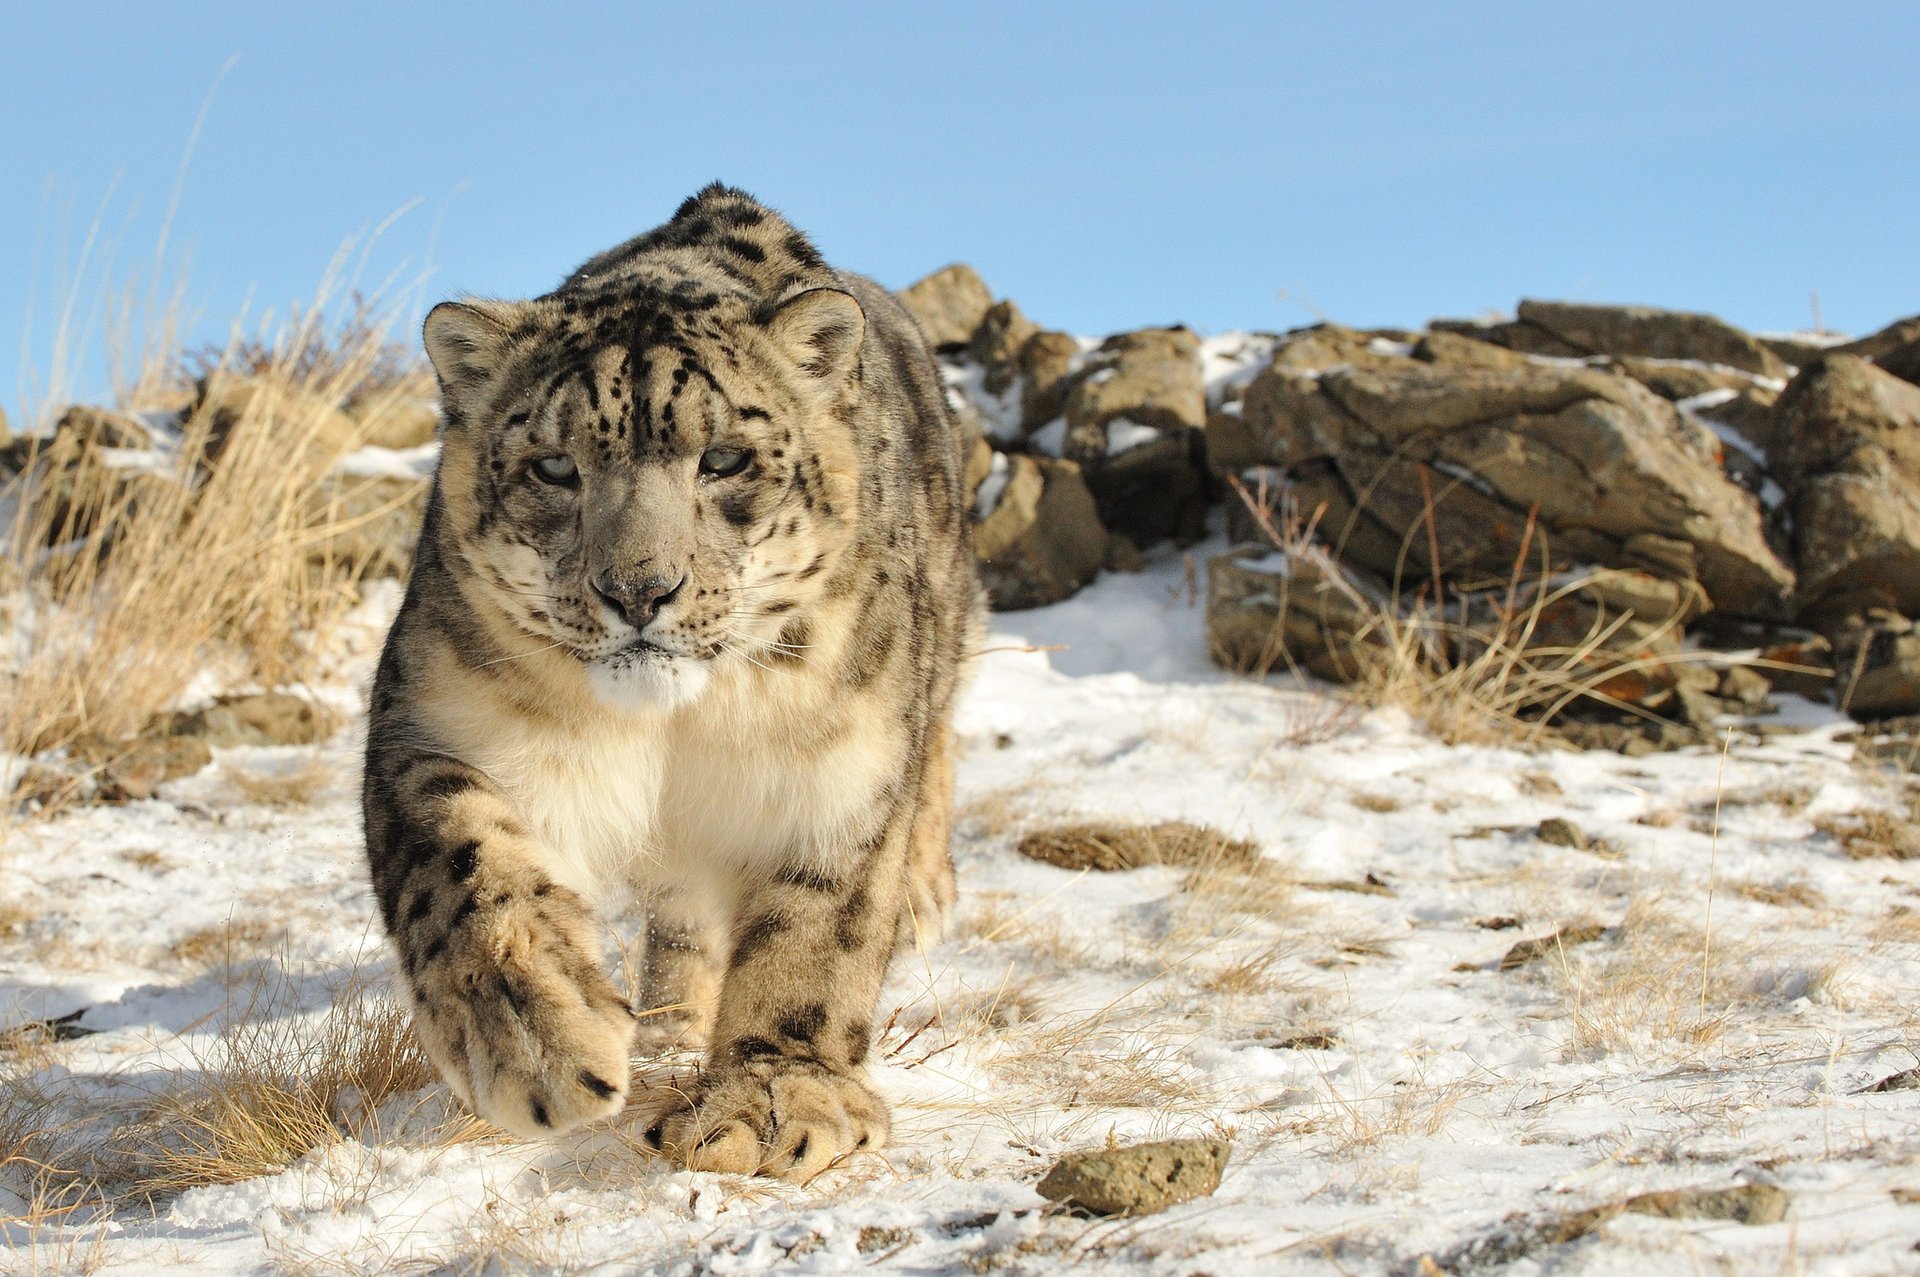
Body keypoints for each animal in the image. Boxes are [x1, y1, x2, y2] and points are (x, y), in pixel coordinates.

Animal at [361, 183, 982, 1180]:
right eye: (554, 466)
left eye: (723, 459)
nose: (638, 590)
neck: (677, 728)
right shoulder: (437, 716)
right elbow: (462, 862)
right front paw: (540, 1041)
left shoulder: (844, 765)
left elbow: (819, 929)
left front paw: (773, 1098)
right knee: (683, 916)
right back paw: (662, 1029)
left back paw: (920, 898)